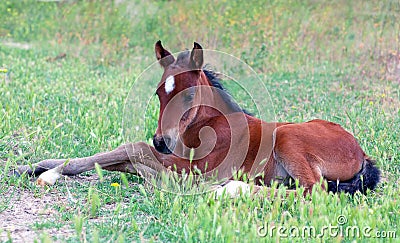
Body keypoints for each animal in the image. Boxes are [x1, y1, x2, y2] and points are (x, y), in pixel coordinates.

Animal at [18, 40, 382, 196]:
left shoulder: (194, 166)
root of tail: (363, 153)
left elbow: (134, 150)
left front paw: (48, 174)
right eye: (158, 94)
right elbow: (122, 157)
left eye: (189, 95)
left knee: (314, 192)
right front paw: (35, 165)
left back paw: (229, 189)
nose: (161, 140)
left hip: (290, 138)